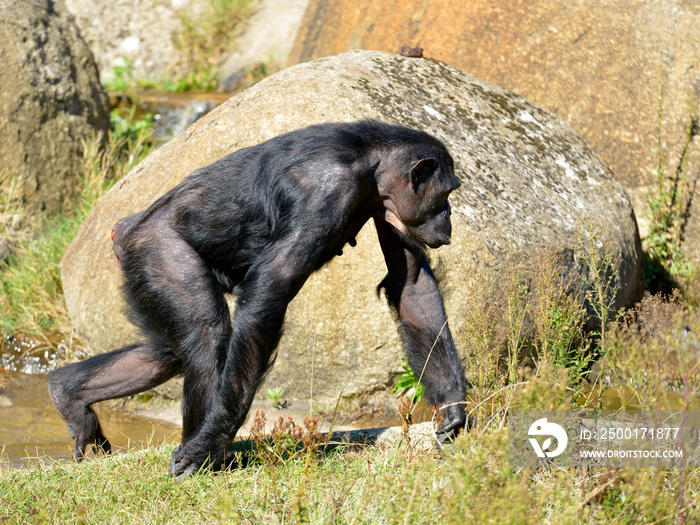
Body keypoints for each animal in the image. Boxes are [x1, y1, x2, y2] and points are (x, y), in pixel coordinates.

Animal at [47, 118, 464, 474]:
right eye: (447, 192)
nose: (448, 216)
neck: (371, 165)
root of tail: (123, 230)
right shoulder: (327, 195)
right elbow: (269, 292)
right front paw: (209, 443)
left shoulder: (390, 208)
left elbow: (411, 282)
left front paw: (453, 410)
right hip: (158, 251)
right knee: (205, 336)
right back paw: (204, 456)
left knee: (167, 351)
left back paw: (69, 395)